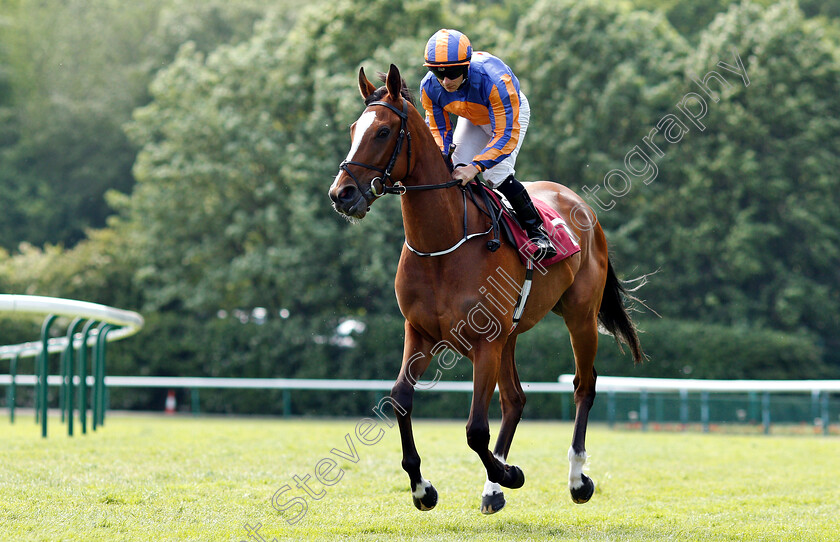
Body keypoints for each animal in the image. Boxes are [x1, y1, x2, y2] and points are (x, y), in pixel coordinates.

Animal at [328, 66, 644, 516]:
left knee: (584, 385)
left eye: (384, 131)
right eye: (355, 128)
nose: (342, 194)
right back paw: (493, 488)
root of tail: (580, 205)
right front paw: (423, 488)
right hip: (510, 334)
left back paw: (576, 478)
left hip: (579, 316)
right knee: (515, 399)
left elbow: (476, 429)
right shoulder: (420, 333)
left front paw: (510, 474)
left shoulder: (484, 341)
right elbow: (401, 399)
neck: (442, 244)